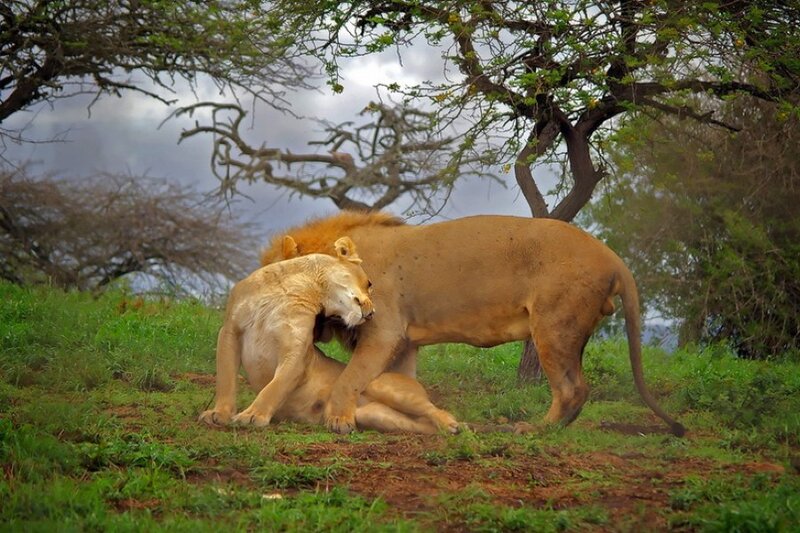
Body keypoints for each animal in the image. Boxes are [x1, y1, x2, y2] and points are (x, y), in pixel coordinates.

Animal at [199, 236, 459, 434]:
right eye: (369, 283)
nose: (372, 313)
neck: (298, 287)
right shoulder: (229, 331)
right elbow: (226, 379)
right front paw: (218, 414)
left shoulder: (296, 351)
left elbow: (275, 386)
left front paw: (252, 415)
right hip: (374, 415)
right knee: (421, 425)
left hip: (383, 386)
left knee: (433, 409)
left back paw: (453, 424)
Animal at [260, 212, 686, 437]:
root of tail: (613, 257)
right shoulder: (405, 342)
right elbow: (401, 382)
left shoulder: (384, 331)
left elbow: (349, 378)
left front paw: (339, 420)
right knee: (577, 390)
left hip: (553, 327)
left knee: (572, 388)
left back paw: (535, 430)